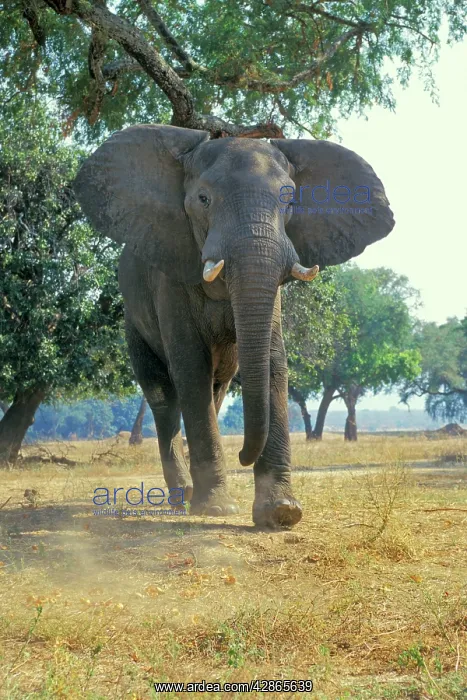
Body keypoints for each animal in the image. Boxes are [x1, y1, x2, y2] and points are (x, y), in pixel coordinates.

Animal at [74, 125, 394, 528]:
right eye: (203, 199)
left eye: (290, 202)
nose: (243, 455)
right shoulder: (171, 273)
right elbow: (190, 365)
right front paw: (217, 508)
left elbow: (272, 360)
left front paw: (282, 513)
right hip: (133, 321)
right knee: (164, 396)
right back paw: (183, 497)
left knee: (215, 389)